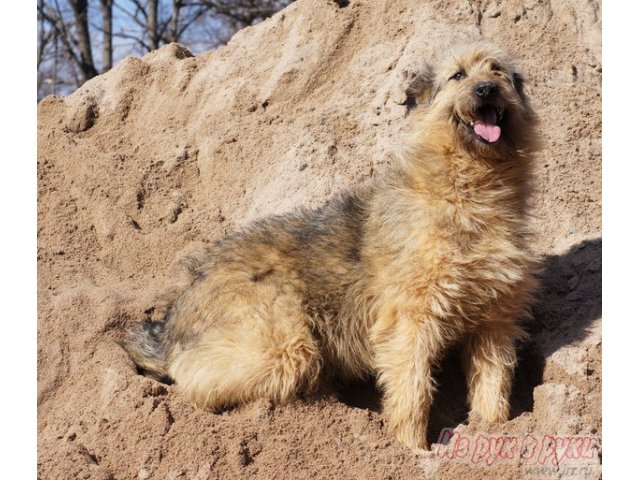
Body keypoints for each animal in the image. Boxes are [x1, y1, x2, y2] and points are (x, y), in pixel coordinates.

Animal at [125, 40, 540, 450]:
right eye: (457, 75)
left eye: (498, 71)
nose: (486, 89)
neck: (470, 192)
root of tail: (178, 307)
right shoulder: (411, 321)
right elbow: (412, 389)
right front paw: (410, 448)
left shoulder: (494, 322)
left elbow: (493, 382)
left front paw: (494, 431)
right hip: (282, 346)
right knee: (193, 377)